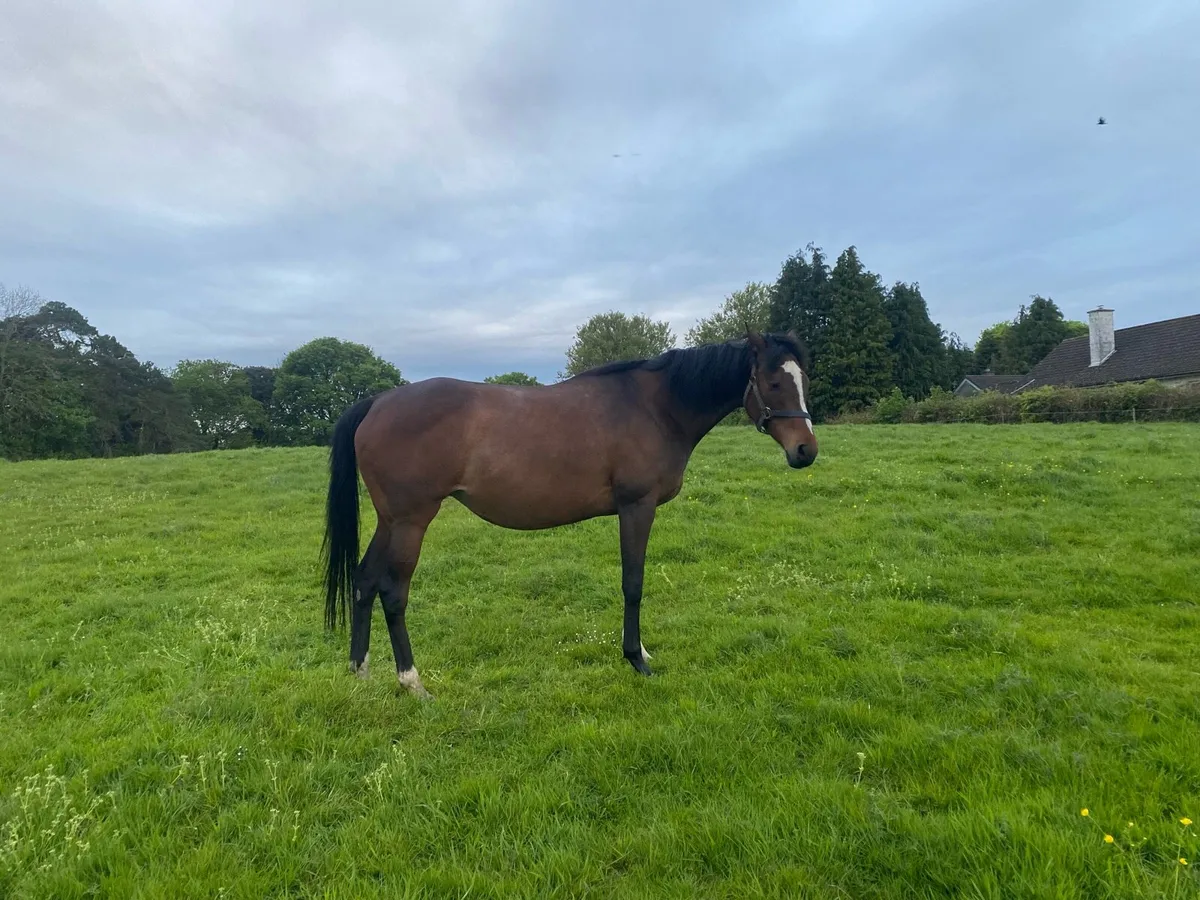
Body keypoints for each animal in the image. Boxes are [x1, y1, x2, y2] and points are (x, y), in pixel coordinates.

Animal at [321, 330, 818, 698]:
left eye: (803, 381)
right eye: (774, 382)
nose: (806, 451)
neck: (654, 407)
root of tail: (378, 402)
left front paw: (641, 654)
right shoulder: (636, 507)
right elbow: (633, 583)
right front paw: (636, 659)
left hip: (389, 521)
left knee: (364, 581)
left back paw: (360, 670)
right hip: (411, 521)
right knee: (392, 592)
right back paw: (412, 682)